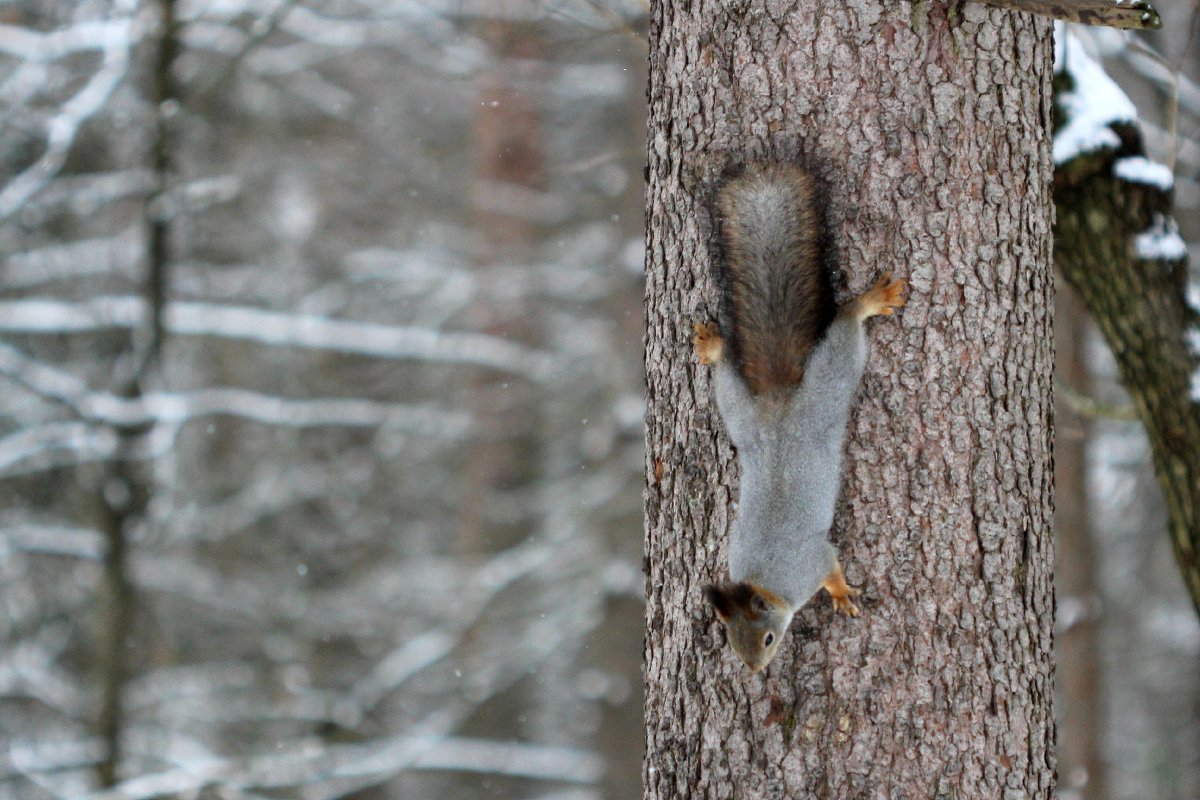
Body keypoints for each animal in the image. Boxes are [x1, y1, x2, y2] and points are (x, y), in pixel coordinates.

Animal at [696, 164, 902, 676]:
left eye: (768, 638)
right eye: (732, 642)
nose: (754, 670)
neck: (763, 580)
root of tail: (780, 407)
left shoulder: (811, 561)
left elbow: (831, 568)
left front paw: (842, 594)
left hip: (826, 391)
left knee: (845, 332)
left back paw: (866, 302)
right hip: (742, 419)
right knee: (728, 380)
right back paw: (714, 347)